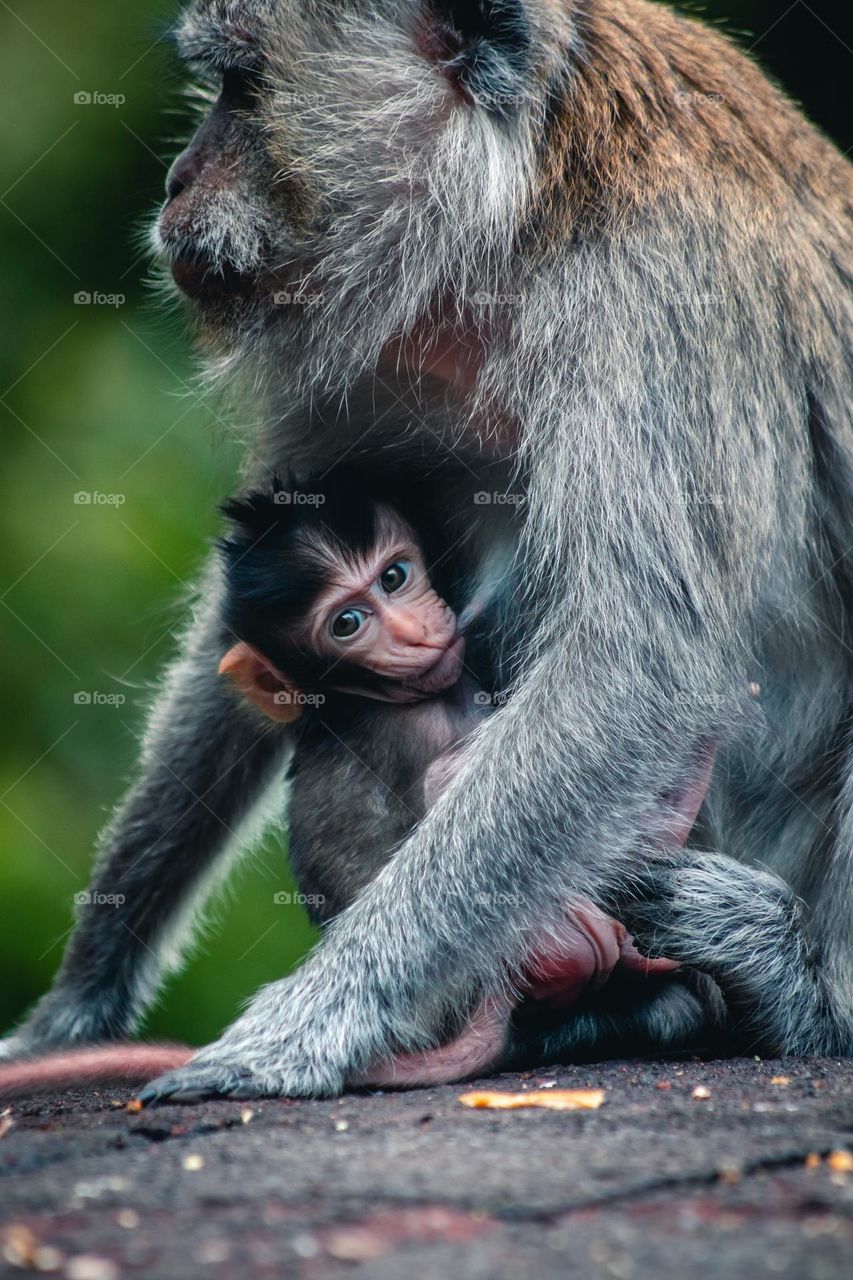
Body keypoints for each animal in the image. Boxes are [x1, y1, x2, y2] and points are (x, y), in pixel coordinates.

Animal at [1, 0, 850, 1100]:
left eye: (239, 87)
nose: (178, 179)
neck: (519, 217)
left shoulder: (650, 307)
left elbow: (635, 669)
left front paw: (311, 1019)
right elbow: (241, 632)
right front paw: (80, 997)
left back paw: (792, 983)